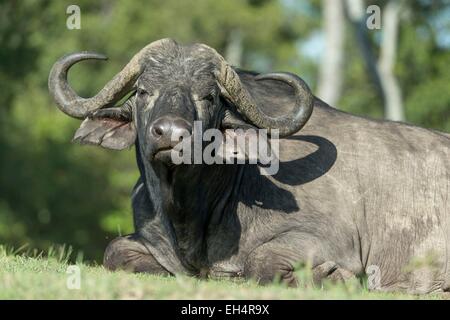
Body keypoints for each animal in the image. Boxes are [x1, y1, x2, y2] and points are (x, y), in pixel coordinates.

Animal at [49, 38, 450, 294]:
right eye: (144, 91)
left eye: (208, 96)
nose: (171, 134)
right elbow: (115, 251)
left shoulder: (330, 241)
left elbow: (261, 261)